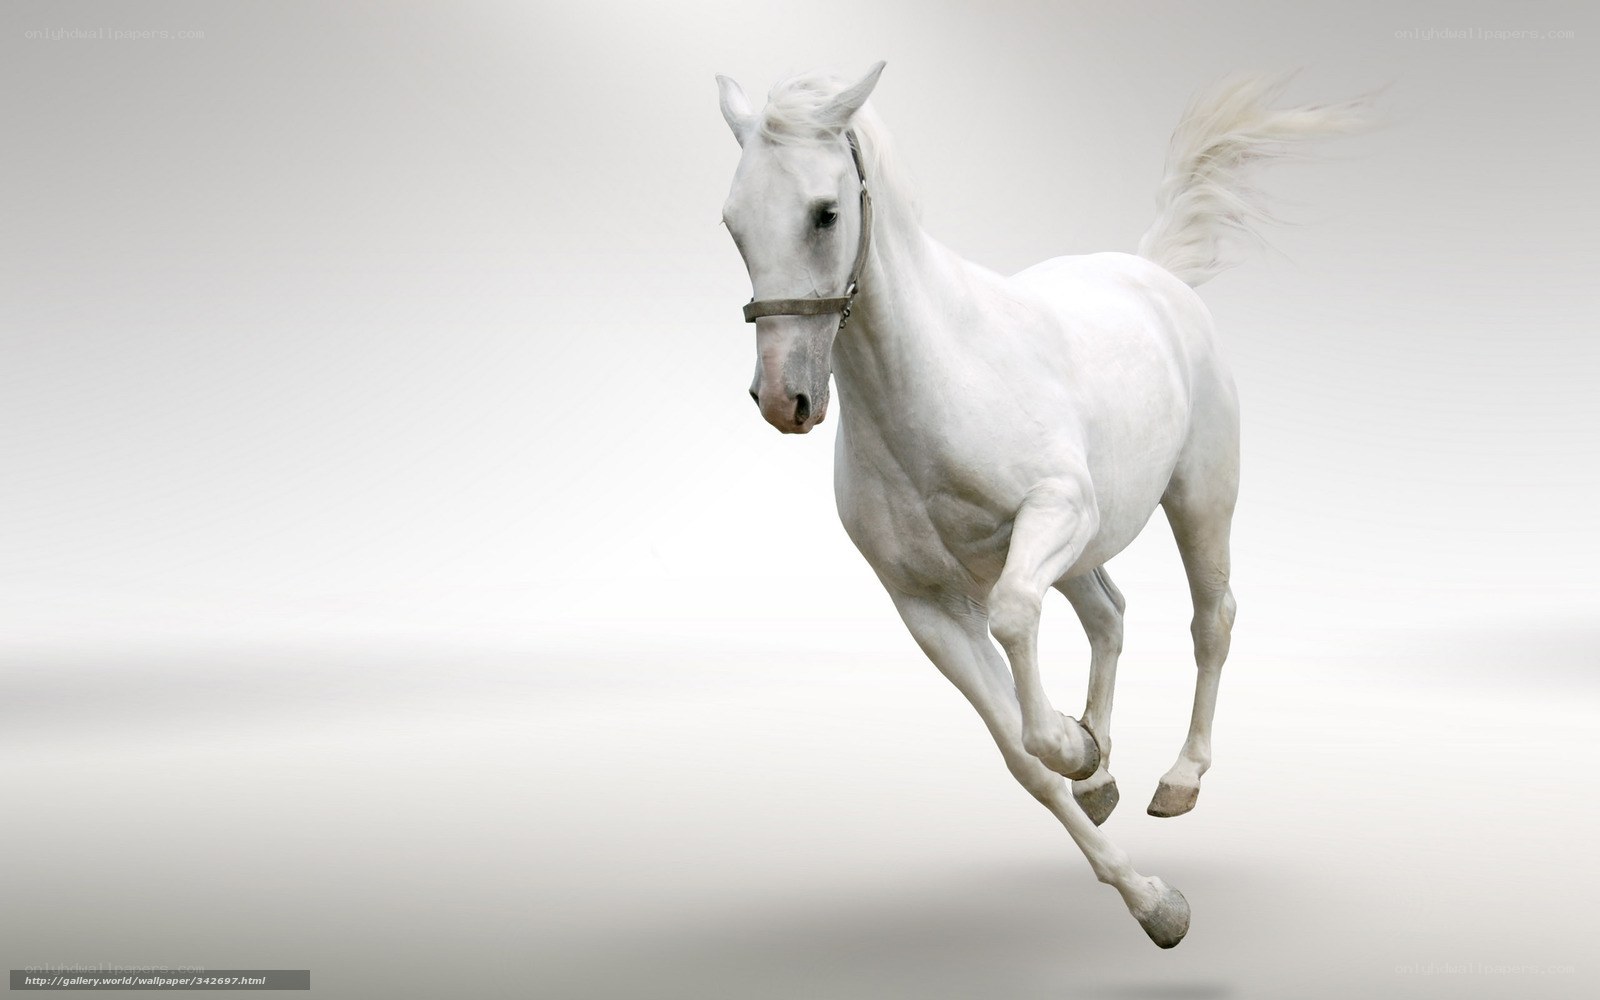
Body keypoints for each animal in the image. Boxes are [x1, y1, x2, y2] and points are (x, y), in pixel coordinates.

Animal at [715, 62, 1370, 948]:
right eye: (733, 224)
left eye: (825, 212)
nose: (785, 400)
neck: (935, 383)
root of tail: (1153, 273)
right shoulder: (926, 607)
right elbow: (1023, 761)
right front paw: (1148, 891)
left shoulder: (1055, 514)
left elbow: (1017, 620)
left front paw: (1077, 750)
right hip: (1087, 551)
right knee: (1110, 614)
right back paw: (1105, 772)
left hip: (1197, 498)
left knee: (1212, 620)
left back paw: (1180, 777)